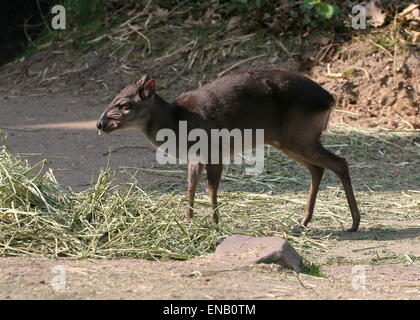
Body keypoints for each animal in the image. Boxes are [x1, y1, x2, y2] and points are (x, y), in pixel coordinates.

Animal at [97, 69, 360, 230]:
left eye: (125, 104)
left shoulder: (215, 148)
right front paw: (188, 219)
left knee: (339, 162)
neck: (178, 121)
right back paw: (304, 220)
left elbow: (211, 187)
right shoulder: (196, 155)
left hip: (300, 136)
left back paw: (354, 222)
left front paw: (215, 221)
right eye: (114, 97)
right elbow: (191, 186)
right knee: (318, 169)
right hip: (289, 140)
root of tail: (330, 99)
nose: (100, 123)